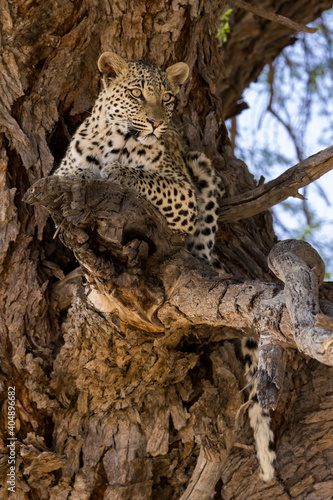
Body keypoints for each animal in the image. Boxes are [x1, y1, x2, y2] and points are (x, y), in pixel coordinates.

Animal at [52, 50, 274, 480]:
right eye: (137, 94)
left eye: (168, 97)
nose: (157, 122)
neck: (117, 140)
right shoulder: (61, 175)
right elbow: (72, 179)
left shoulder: (182, 191)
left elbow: (138, 176)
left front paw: (118, 171)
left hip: (201, 169)